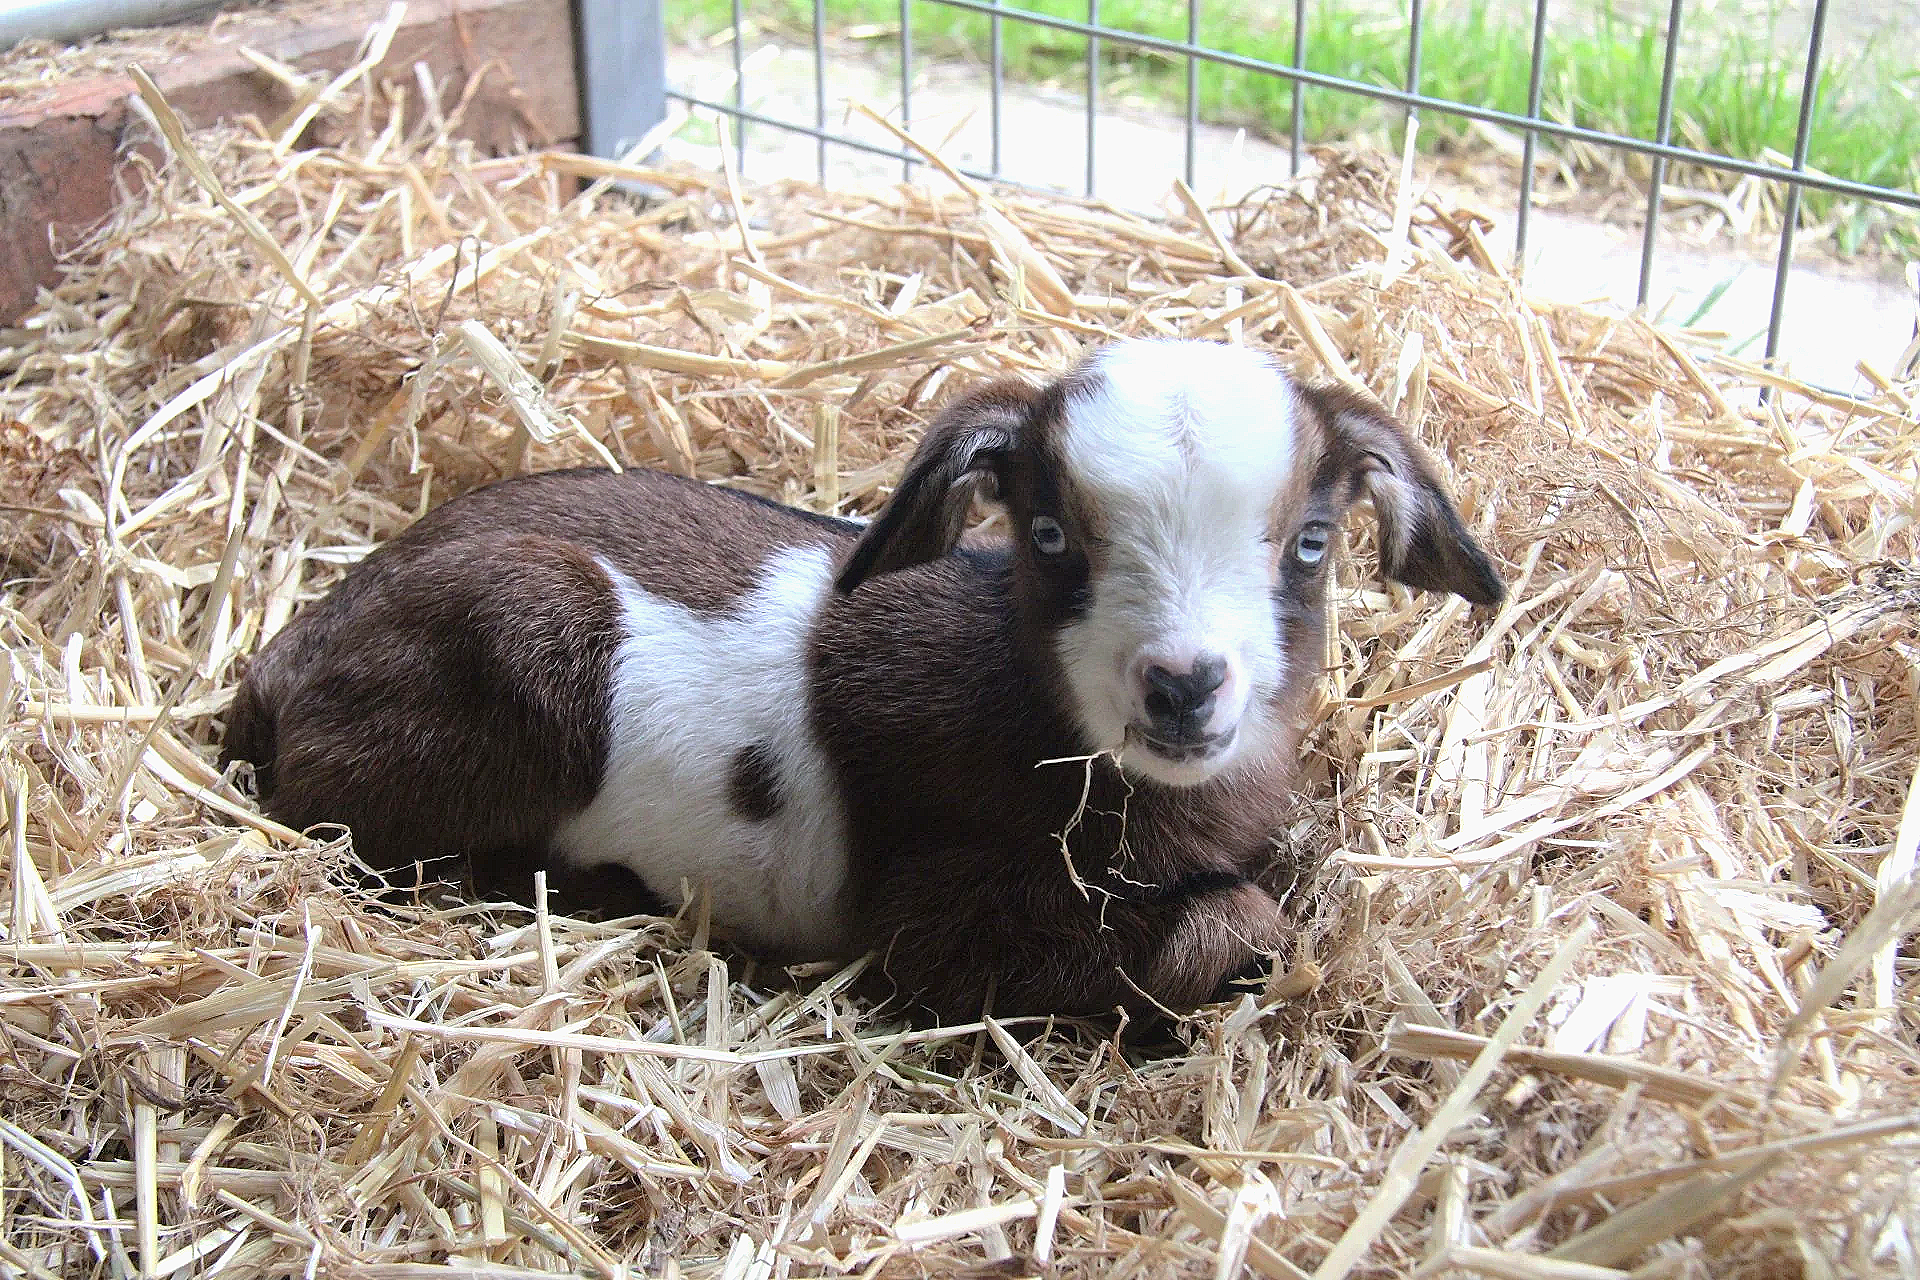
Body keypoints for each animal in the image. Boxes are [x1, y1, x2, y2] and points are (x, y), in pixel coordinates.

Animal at [221, 337, 1504, 1022]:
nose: (1182, 685)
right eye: (1049, 535)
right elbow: (1227, 926)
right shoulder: (940, 917)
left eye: (1311, 542)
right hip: (517, 637)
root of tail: (283, 658)